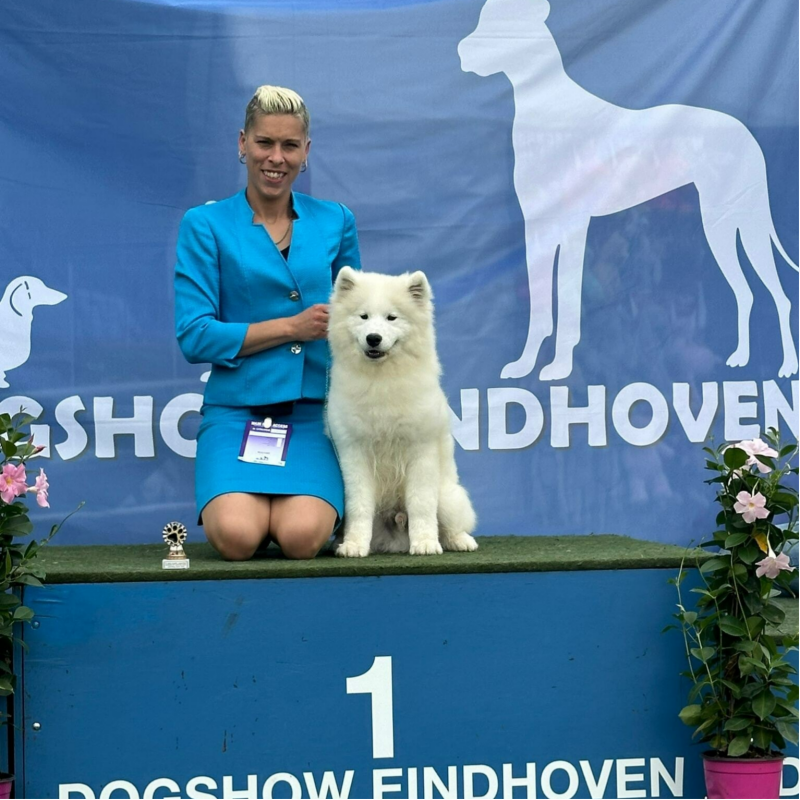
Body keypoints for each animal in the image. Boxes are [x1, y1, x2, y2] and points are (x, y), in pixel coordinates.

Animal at [326, 267, 478, 557]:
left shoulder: (421, 451)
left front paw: (425, 544)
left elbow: (421, 504)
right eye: (363, 316)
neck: (382, 381)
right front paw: (354, 545)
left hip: (448, 497)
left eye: (391, 317)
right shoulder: (354, 453)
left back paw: (460, 541)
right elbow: (359, 506)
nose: (373, 338)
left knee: (452, 523)